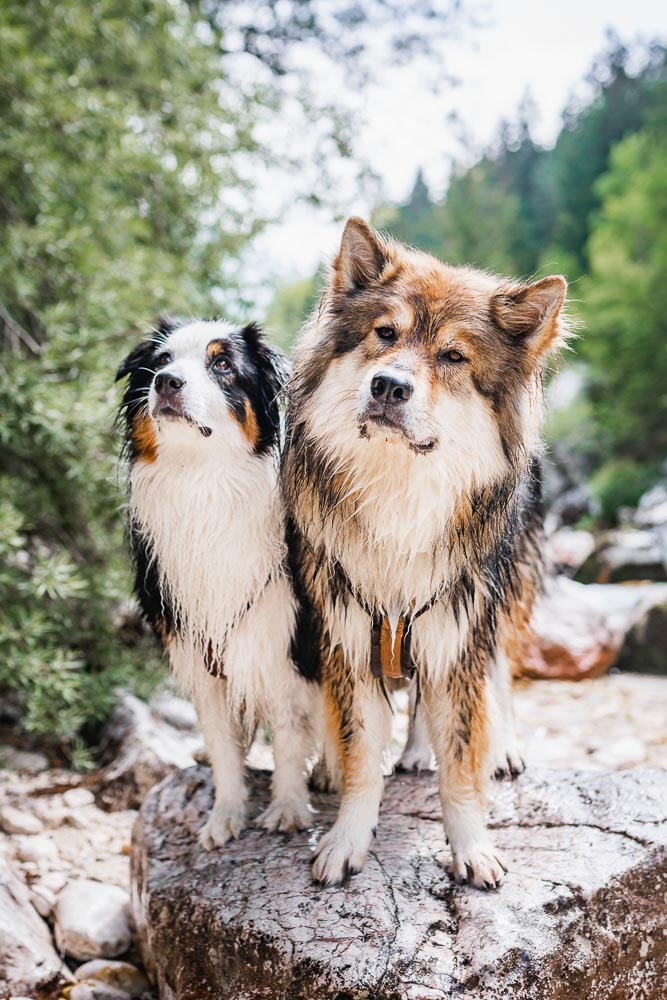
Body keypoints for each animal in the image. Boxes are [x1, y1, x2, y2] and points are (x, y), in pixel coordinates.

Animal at [284, 217, 572, 884]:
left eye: (453, 356)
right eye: (384, 334)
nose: (389, 386)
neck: (400, 487)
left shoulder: (458, 625)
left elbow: (462, 759)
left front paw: (471, 847)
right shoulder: (351, 630)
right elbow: (362, 752)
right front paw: (347, 838)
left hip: (499, 590)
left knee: (498, 670)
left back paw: (503, 745)